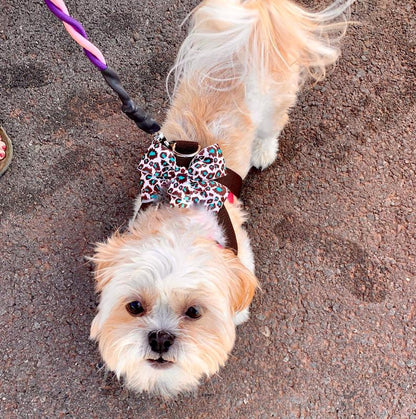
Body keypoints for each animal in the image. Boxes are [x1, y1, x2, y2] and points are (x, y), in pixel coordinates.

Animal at [89, 0, 352, 398]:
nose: (160, 338)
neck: (182, 209)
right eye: (134, 306)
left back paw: (262, 150)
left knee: (272, 126)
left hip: (274, 103)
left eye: (194, 313)